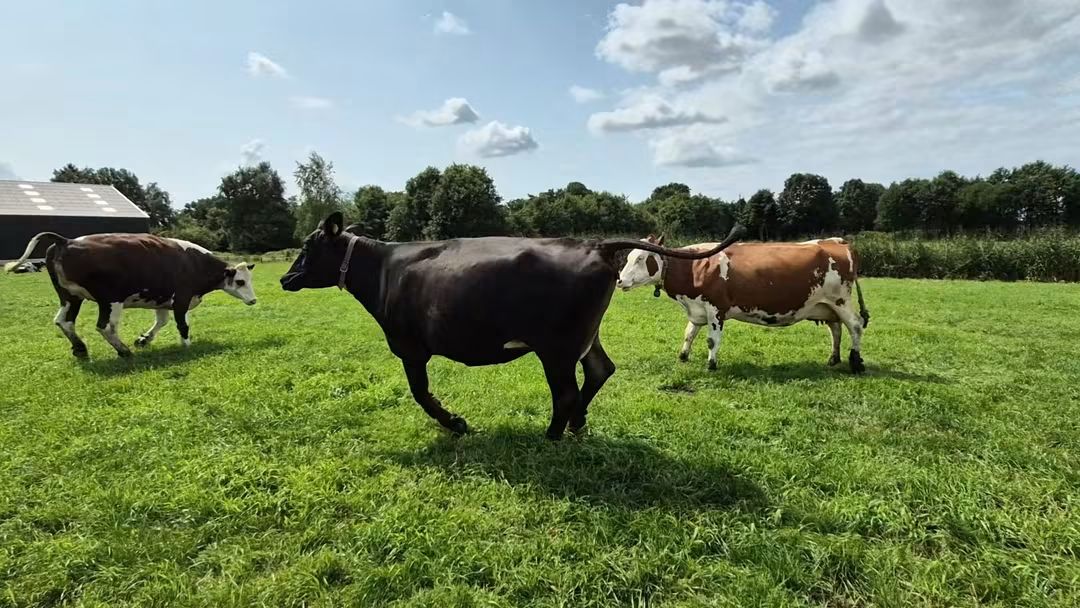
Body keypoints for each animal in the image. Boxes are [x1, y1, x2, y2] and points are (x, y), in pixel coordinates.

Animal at [4, 232, 257, 358]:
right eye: (240, 281)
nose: (253, 300)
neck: (194, 263)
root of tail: (66, 241)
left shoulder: (163, 301)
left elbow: (161, 322)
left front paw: (144, 339)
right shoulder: (182, 299)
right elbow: (182, 325)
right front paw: (187, 345)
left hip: (70, 297)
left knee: (64, 321)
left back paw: (81, 348)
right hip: (110, 300)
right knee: (105, 327)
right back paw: (123, 350)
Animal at [280, 212, 744, 439]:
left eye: (307, 246)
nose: (285, 278)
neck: (384, 269)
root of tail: (592, 243)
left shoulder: (410, 346)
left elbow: (421, 394)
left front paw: (456, 423)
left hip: (556, 348)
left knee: (567, 392)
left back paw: (553, 434)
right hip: (583, 338)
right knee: (599, 370)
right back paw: (576, 426)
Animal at [617, 236, 869, 374]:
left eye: (640, 259)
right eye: (628, 257)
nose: (619, 280)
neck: (694, 266)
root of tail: (838, 241)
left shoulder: (716, 309)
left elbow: (712, 340)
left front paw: (711, 364)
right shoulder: (697, 308)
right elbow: (689, 333)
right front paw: (683, 356)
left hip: (841, 301)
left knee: (855, 326)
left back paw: (856, 362)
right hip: (826, 305)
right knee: (835, 329)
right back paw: (833, 359)